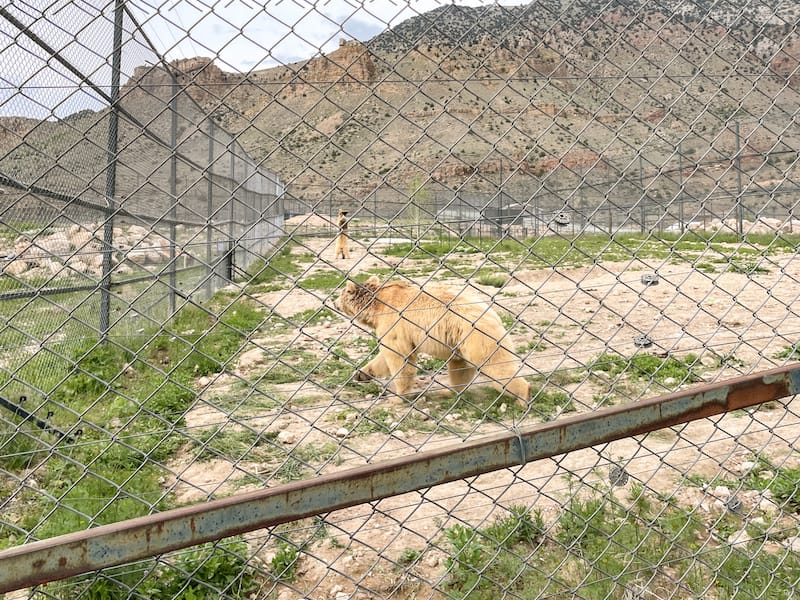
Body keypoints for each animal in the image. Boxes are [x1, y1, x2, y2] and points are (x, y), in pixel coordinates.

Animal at [336, 276, 532, 404]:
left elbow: (399, 358)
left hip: (478, 337)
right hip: (460, 341)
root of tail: (493, 315)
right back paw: (449, 392)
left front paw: (396, 396)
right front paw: (361, 374)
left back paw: (522, 396)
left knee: (495, 366)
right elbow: (384, 357)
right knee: (459, 368)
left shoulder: (394, 322)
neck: (376, 306)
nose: (334, 302)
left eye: (339, 293)